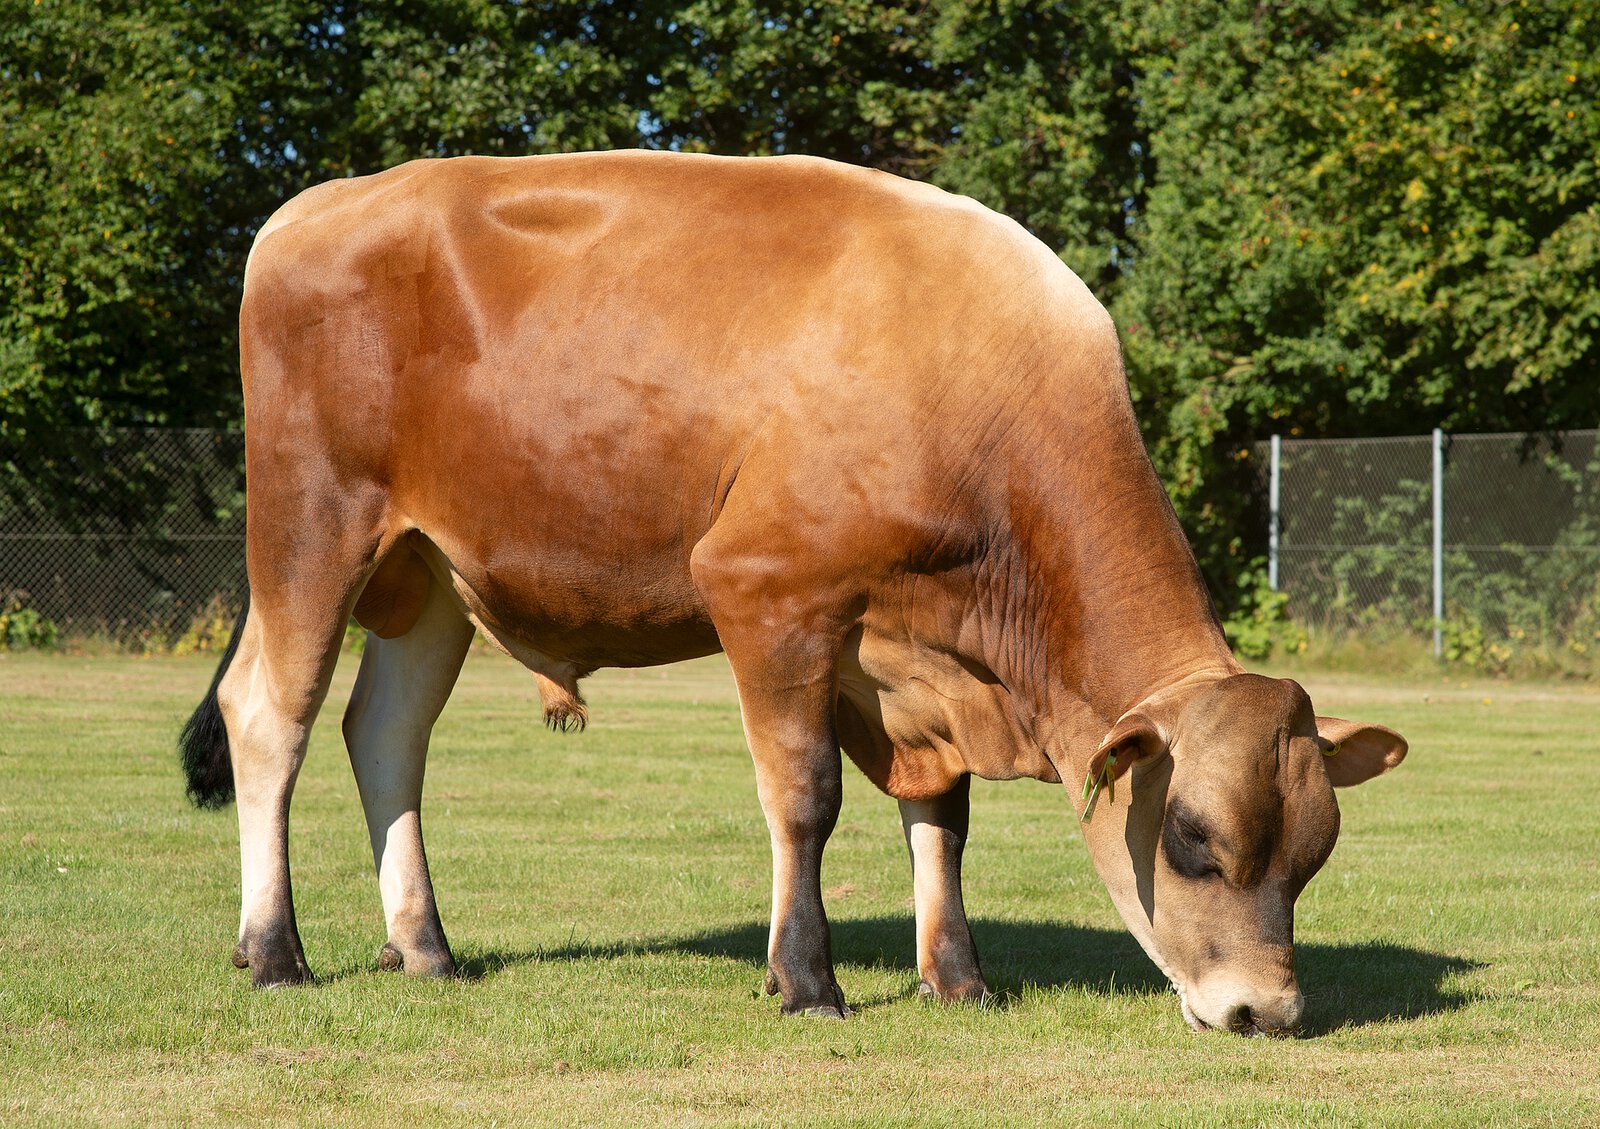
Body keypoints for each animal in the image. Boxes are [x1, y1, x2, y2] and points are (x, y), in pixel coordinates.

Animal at [179, 150, 1407, 1036]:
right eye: (1193, 838)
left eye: (1314, 853)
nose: (1266, 1010)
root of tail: (319, 203)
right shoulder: (767, 594)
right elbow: (806, 797)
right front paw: (805, 977)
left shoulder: (910, 657)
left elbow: (941, 816)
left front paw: (955, 976)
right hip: (311, 522)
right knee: (271, 716)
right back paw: (276, 951)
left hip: (432, 573)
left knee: (385, 734)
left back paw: (425, 948)